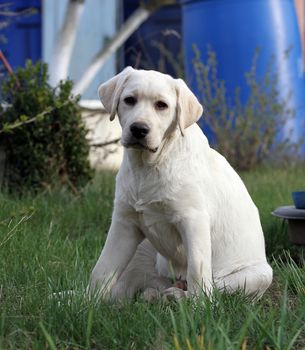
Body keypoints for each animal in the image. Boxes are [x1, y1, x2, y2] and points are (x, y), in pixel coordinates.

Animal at [89, 67, 272, 300]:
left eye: (162, 105)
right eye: (129, 100)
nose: (139, 129)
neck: (149, 165)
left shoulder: (194, 220)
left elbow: (197, 271)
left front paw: (199, 305)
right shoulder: (124, 223)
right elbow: (102, 269)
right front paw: (88, 302)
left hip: (260, 274)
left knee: (214, 285)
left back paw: (176, 296)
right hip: (143, 248)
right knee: (131, 287)